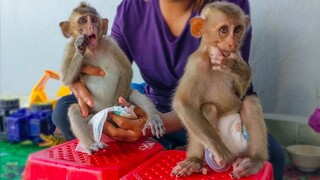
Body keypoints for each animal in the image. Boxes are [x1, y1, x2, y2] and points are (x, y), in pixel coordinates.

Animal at [59, 2, 165, 155]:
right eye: (83, 21)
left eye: (94, 20)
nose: (91, 27)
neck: (93, 50)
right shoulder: (69, 49)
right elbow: (67, 80)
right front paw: (80, 46)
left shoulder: (111, 44)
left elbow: (126, 69)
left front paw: (118, 105)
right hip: (91, 114)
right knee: (74, 111)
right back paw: (91, 144)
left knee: (135, 95)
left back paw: (153, 118)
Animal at [171, 1, 268, 179]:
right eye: (224, 30)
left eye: (237, 29)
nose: (233, 43)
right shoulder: (196, 64)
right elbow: (184, 104)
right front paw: (222, 153)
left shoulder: (236, 55)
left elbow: (240, 94)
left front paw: (239, 69)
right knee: (208, 108)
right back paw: (196, 161)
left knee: (249, 102)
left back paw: (254, 160)